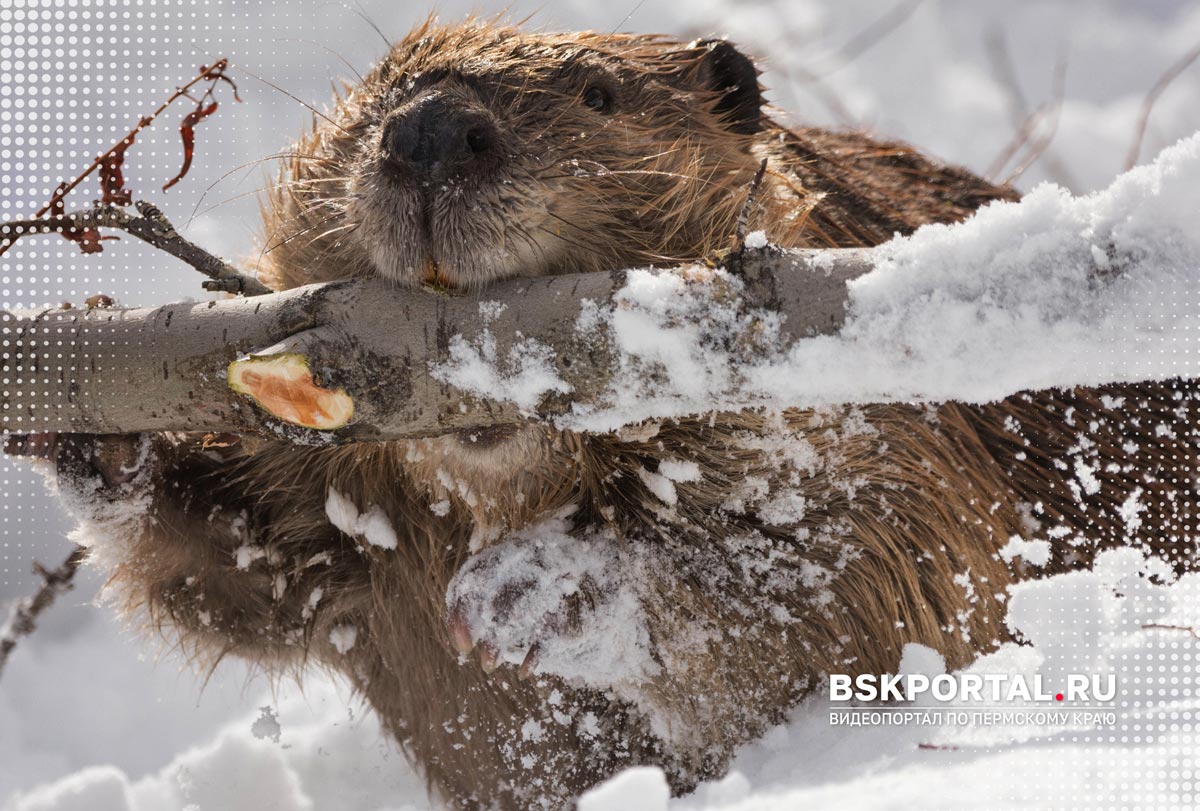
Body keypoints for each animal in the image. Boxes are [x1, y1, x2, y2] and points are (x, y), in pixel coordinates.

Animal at [18, 14, 1200, 811]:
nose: (430, 134)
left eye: (597, 94)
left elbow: (867, 564)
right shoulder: (339, 515)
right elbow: (240, 569)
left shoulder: (899, 420)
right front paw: (97, 417)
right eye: (370, 100)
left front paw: (532, 591)